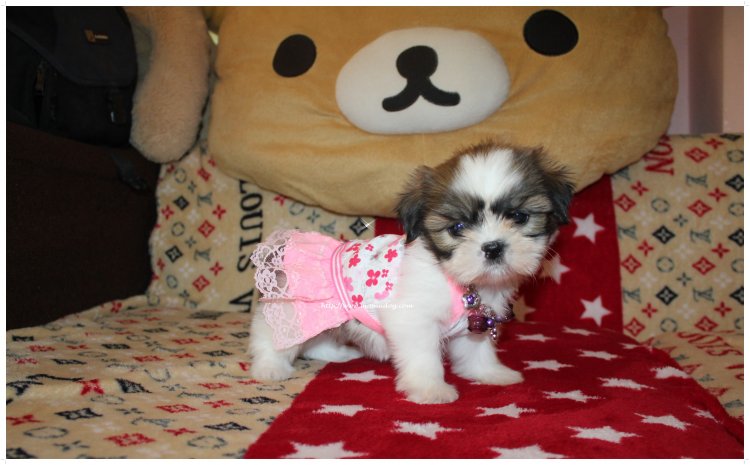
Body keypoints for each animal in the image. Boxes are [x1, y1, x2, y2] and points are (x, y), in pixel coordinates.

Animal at [248, 141, 573, 404]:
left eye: (519, 216)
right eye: (457, 228)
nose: (492, 247)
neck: (458, 282)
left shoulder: (474, 323)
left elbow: (476, 351)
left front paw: (490, 373)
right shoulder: (413, 319)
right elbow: (423, 355)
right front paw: (430, 389)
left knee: (318, 339)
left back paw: (337, 355)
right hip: (295, 311)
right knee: (273, 335)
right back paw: (269, 366)